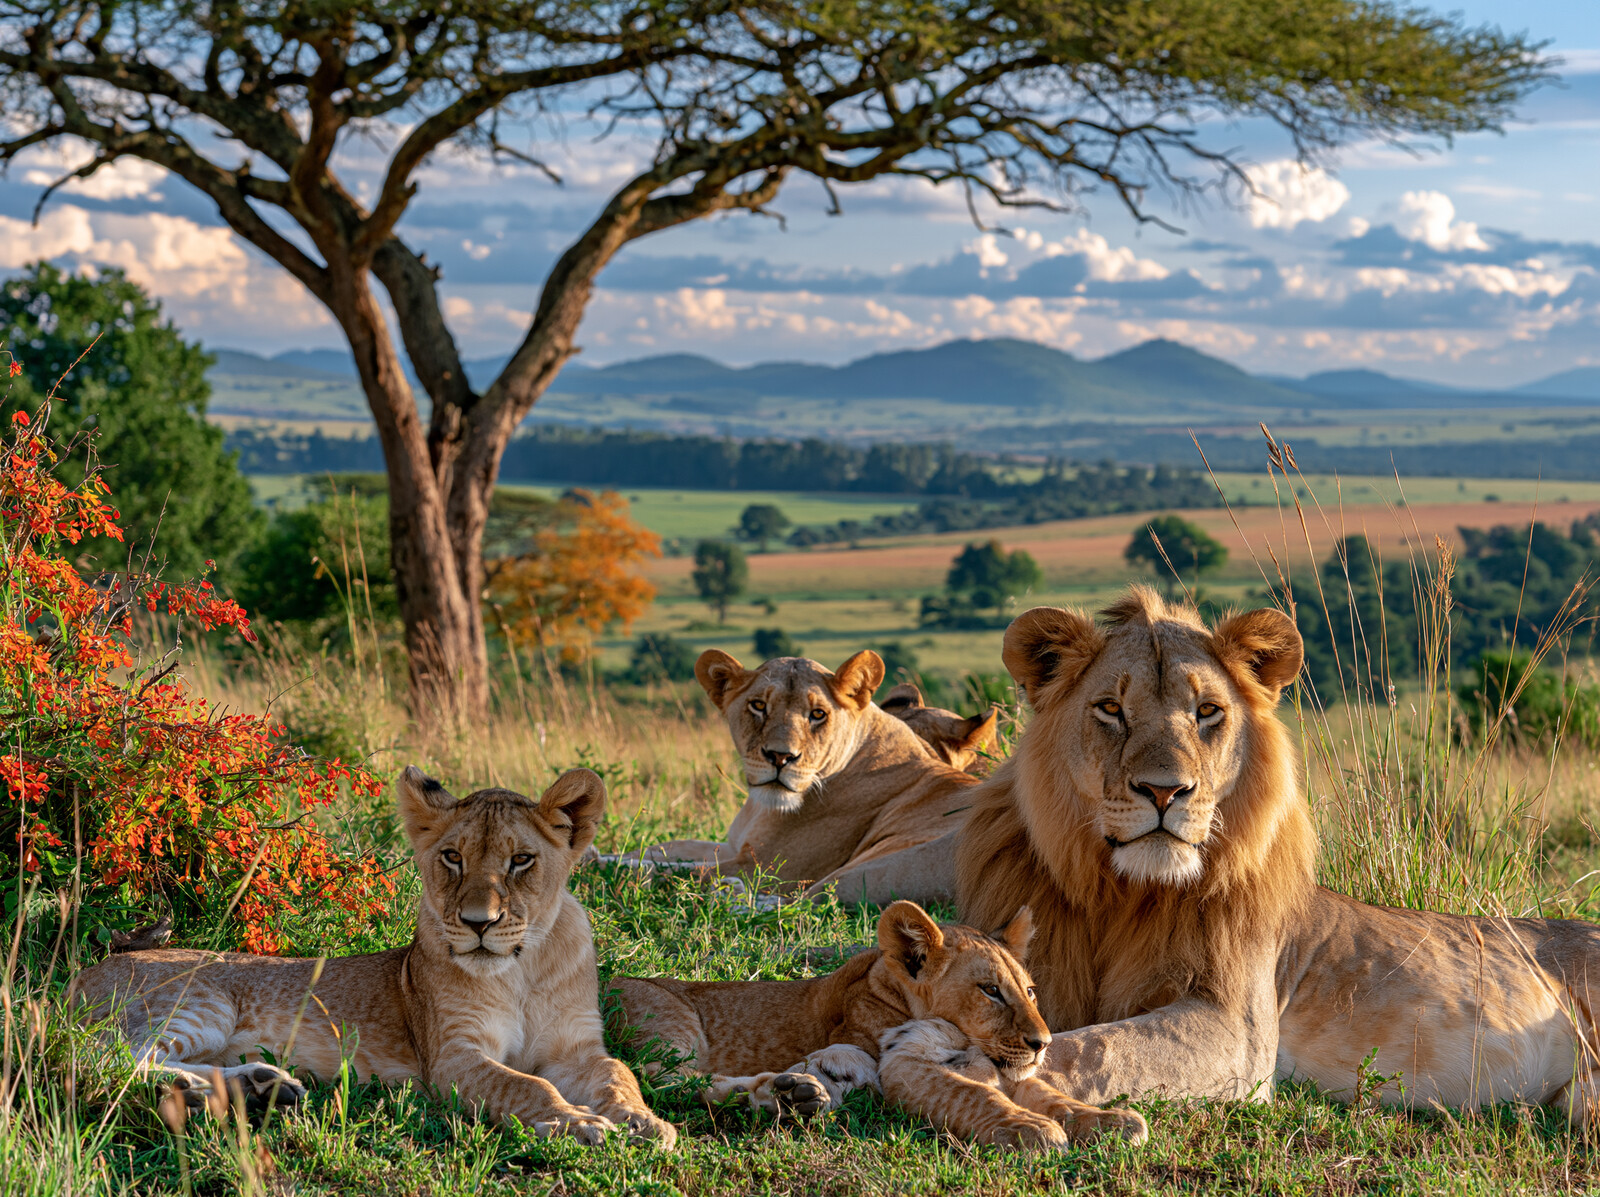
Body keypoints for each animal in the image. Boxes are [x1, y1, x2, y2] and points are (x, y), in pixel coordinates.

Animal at [73, 768, 677, 1147]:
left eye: (521, 861)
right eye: (452, 858)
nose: (478, 924)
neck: (521, 970)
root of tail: (82, 974)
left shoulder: (576, 1049)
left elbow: (618, 1073)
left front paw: (647, 1123)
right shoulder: (451, 1058)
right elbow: (526, 1085)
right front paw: (578, 1124)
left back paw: (262, 1086)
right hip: (200, 1002)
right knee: (107, 1058)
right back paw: (207, 1092)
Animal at [612, 900, 1147, 1148]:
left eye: (1029, 991)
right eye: (990, 991)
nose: (1042, 1043)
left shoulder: (1009, 1069)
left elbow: (1053, 1096)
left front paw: (1108, 1121)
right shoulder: (899, 1069)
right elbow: (974, 1096)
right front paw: (1028, 1129)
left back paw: (794, 1096)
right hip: (670, 1023)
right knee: (666, 1080)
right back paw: (786, 1092)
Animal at [621, 650, 980, 905]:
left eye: (818, 714)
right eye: (758, 706)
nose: (780, 757)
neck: (761, 806)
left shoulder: (769, 867)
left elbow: (679, 870)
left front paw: (619, 867)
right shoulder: (735, 845)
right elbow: (669, 847)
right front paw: (619, 854)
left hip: (872, 869)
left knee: (803, 904)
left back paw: (729, 895)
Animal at [955, 586, 1600, 1123]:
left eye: (1207, 712)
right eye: (1111, 709)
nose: (1165, 792)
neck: (1120, 893)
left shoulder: (1237, 1030)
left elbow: (1094, 1047)